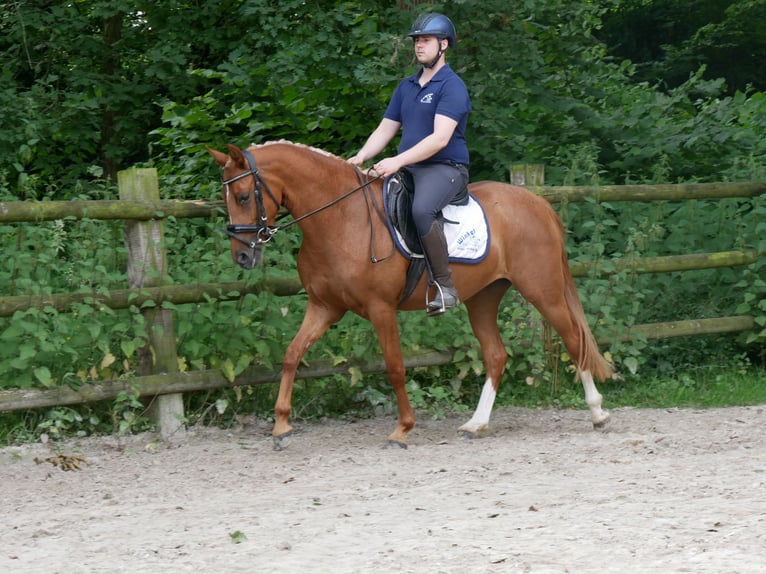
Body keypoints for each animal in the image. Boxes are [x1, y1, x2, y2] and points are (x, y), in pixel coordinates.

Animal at [207, 143, 616, 450]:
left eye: (243, 195)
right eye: (227, 198)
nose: (242, 256)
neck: (341, 219)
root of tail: (538, 203)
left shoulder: (380, 308)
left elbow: (395, 367)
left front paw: (402, 429)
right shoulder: (324, 307)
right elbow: (292, 356)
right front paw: (281, 427)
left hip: (542, 290)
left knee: (574, 339)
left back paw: (598, 413)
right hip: (483, 298)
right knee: (496, 355)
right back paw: (476, 424)